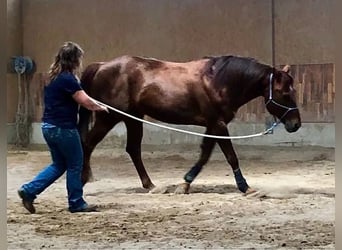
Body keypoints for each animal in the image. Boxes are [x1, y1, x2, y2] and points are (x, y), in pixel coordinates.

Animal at [78, 55, 302, 195]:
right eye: (284, 93)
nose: (296, 124)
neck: (218, 81)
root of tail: (101, 65)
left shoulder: (213, 125)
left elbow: (204, 155)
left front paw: (185, 183)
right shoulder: (218, 125)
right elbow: (230, 156)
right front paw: (245, 187)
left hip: (133, 118)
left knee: (132, 149)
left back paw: (150, 185)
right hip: (109, 118)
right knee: (88, 144)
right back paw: (83, 179)